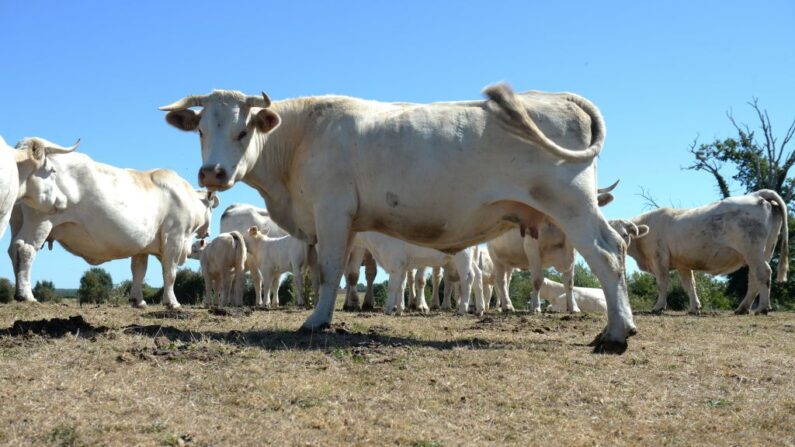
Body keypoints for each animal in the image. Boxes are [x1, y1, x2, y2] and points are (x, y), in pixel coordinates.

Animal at [7, 150, 218, 308]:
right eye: (211, 208)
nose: (207, 232)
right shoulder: (174, 237)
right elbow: (170, 273)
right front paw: (172, 302)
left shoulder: (142, 246)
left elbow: (139, 271)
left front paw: (138, 300)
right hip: (40, 221)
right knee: (25, 249)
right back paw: (27, 295)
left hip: (17, 221)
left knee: (13, 249)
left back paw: (17, 292)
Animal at [350, 233, 486, 316]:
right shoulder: (402, 266)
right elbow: (401, 287)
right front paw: (399, 310)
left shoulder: (395, 263)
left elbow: (392, 287)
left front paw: (388, 310)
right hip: (471, 259)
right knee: (478, 275)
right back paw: (480, 309)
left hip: (463, 256)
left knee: (468, 277)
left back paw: (462, 309)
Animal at [628, 191, 788, 316]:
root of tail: (756, 194)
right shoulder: (682, 264)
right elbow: (689, 284)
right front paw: (694, 308)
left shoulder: (659, 258)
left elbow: (662, 283)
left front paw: (658, 307)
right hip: (764, 251)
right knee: (754, 278)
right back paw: (742, 308)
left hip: (753, 250)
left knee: (763, 273)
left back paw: (763, 308)